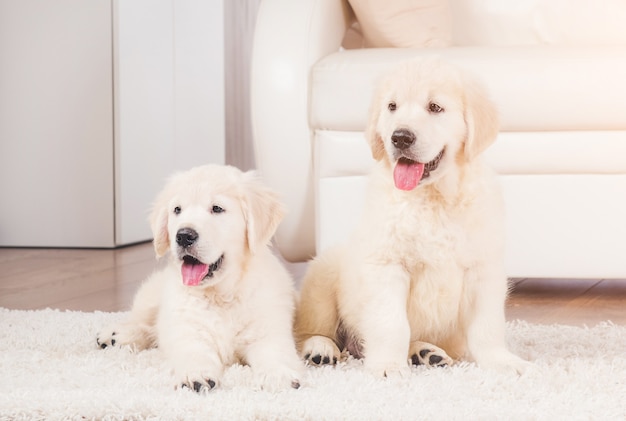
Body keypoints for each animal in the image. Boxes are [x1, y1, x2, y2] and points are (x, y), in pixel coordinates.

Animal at [96, 163, 304, 390]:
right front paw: (196, 375)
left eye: (217, 208)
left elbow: (275, 352)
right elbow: (193, 351)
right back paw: (116, 335)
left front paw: (278, 375)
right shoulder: (186, 328)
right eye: (177, 210)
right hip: (152, 296)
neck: (222, 295)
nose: (183, 236)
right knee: (146, 323)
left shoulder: (267, 329)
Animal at [294, 57, 528, 376]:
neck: (433, 197)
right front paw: (387, 366)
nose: (400, 137)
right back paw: (321, 349)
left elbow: (486, 327)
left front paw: (501, 361)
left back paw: (426, 353)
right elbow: (391, 324)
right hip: (322, 277)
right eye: (392, 106)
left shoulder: (483, 269)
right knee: (309, 330)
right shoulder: (387, 265)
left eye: (435, 107)